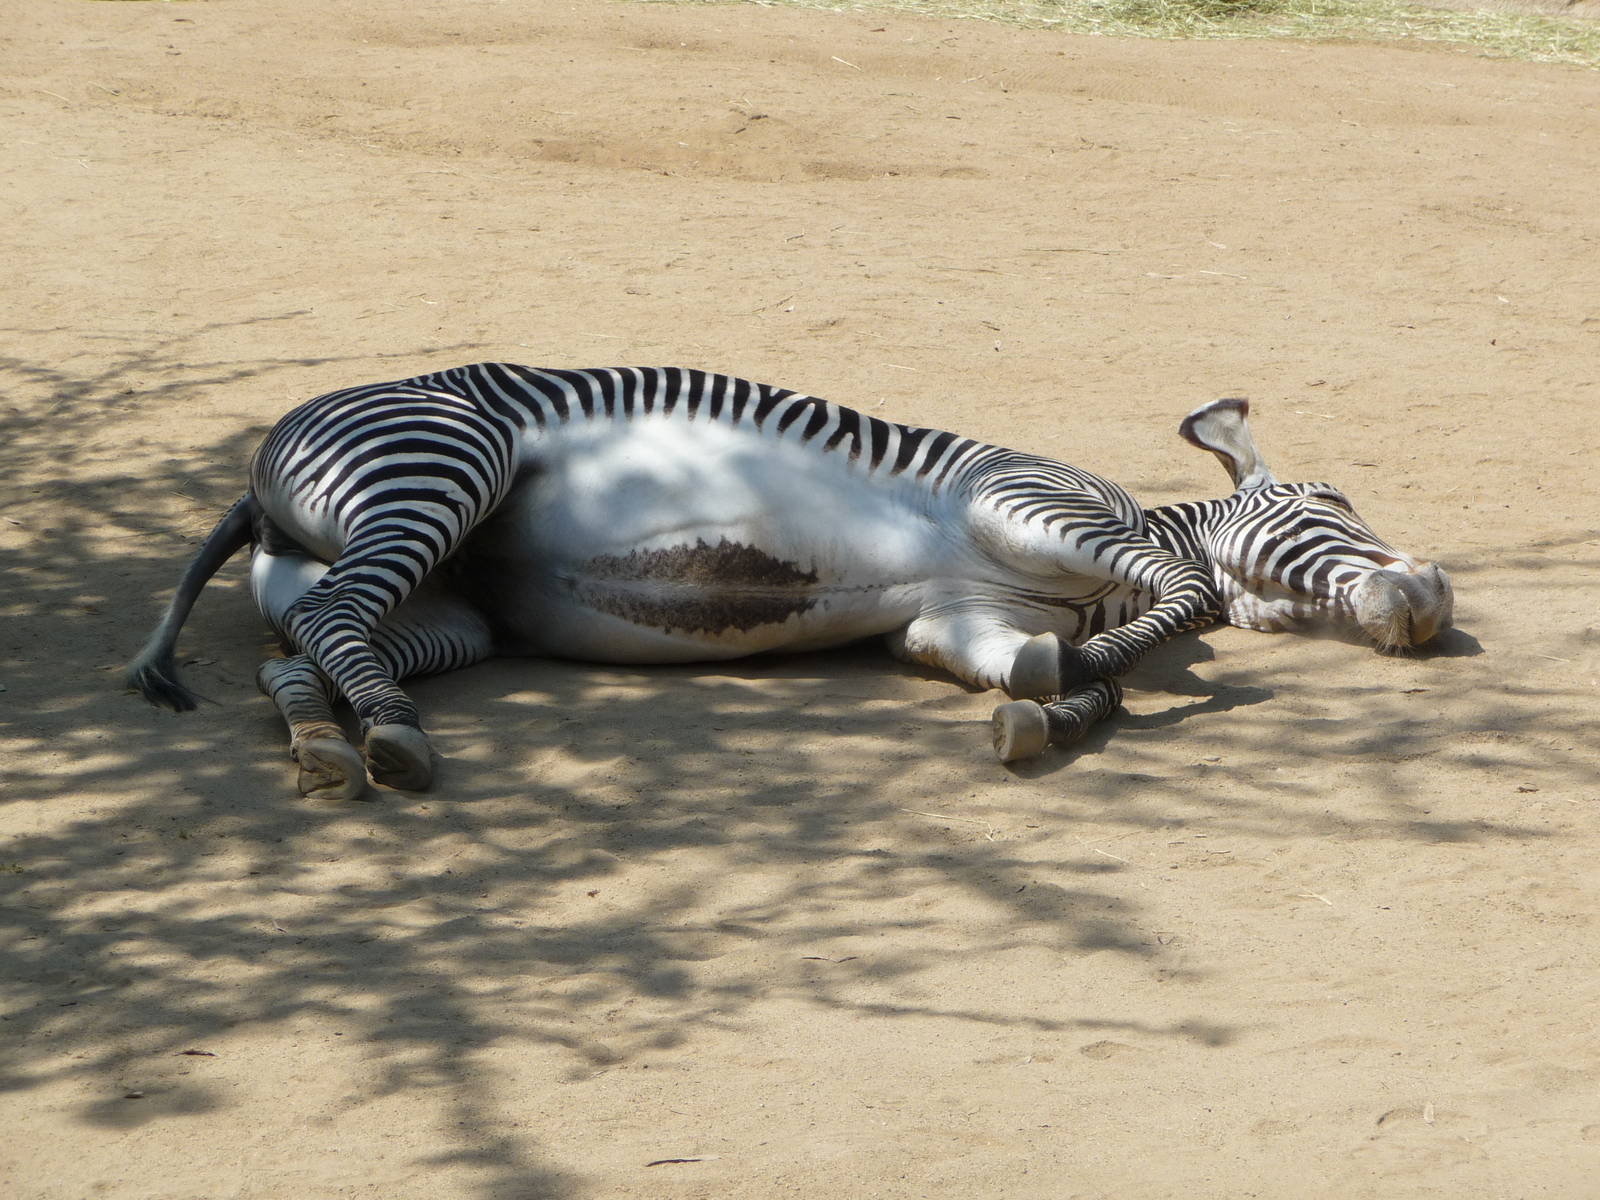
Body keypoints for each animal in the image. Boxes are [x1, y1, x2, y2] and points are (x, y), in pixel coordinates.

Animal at [127, 363, 1454, 800]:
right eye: (1334, 502)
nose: (1434, 603)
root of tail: (262, 470)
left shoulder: (957, 625)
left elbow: (1022, 663)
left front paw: (1060, 700)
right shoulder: (1031, 502)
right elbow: (1183, 591)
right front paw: (1089, 680)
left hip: (444, 610)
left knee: (304, 646)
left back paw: (333, 743)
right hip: (443, 465)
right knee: (335, 622)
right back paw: (392, 738)